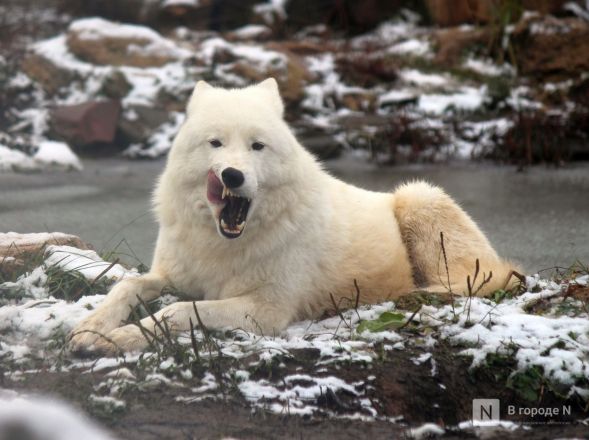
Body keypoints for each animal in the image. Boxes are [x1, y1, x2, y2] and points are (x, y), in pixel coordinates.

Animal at [70, 78, 516, 354]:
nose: (232, 175)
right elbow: (128, 285)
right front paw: (90, 328)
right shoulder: (172, 275)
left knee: (468, 283)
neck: (223, 245)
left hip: (418, 196)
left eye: (256, 146)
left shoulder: (267, 310)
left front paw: (117, 339)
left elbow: (177, 311)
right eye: (216, 143)